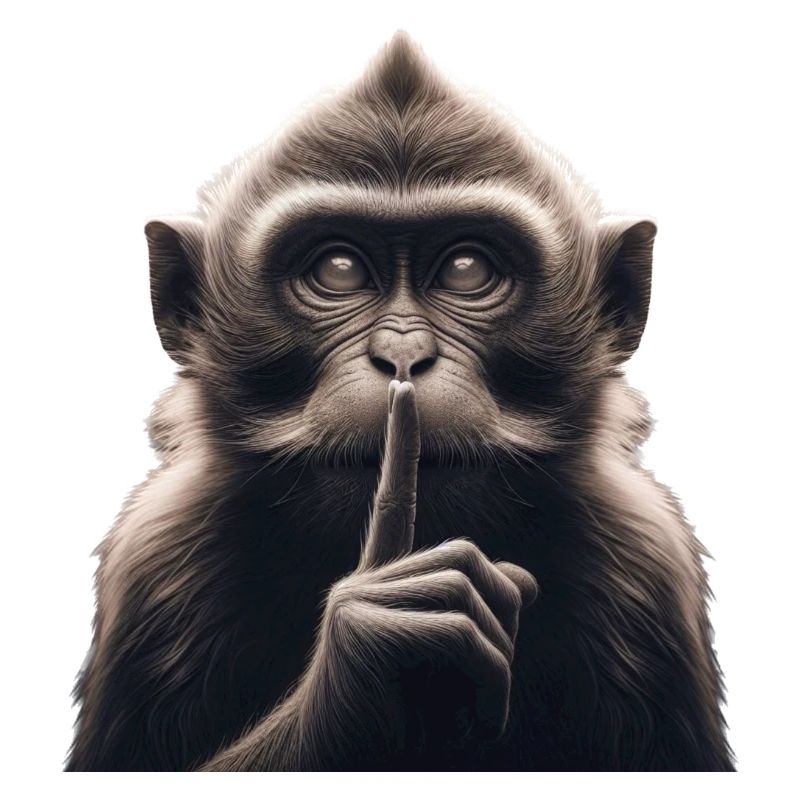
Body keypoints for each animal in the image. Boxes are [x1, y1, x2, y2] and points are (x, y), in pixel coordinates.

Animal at [66, 32, 734, 771]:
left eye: (467, 270)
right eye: (338, 270)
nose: (403, 354)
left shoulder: (647, 562)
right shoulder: (155, 559)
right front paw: (375, 647)